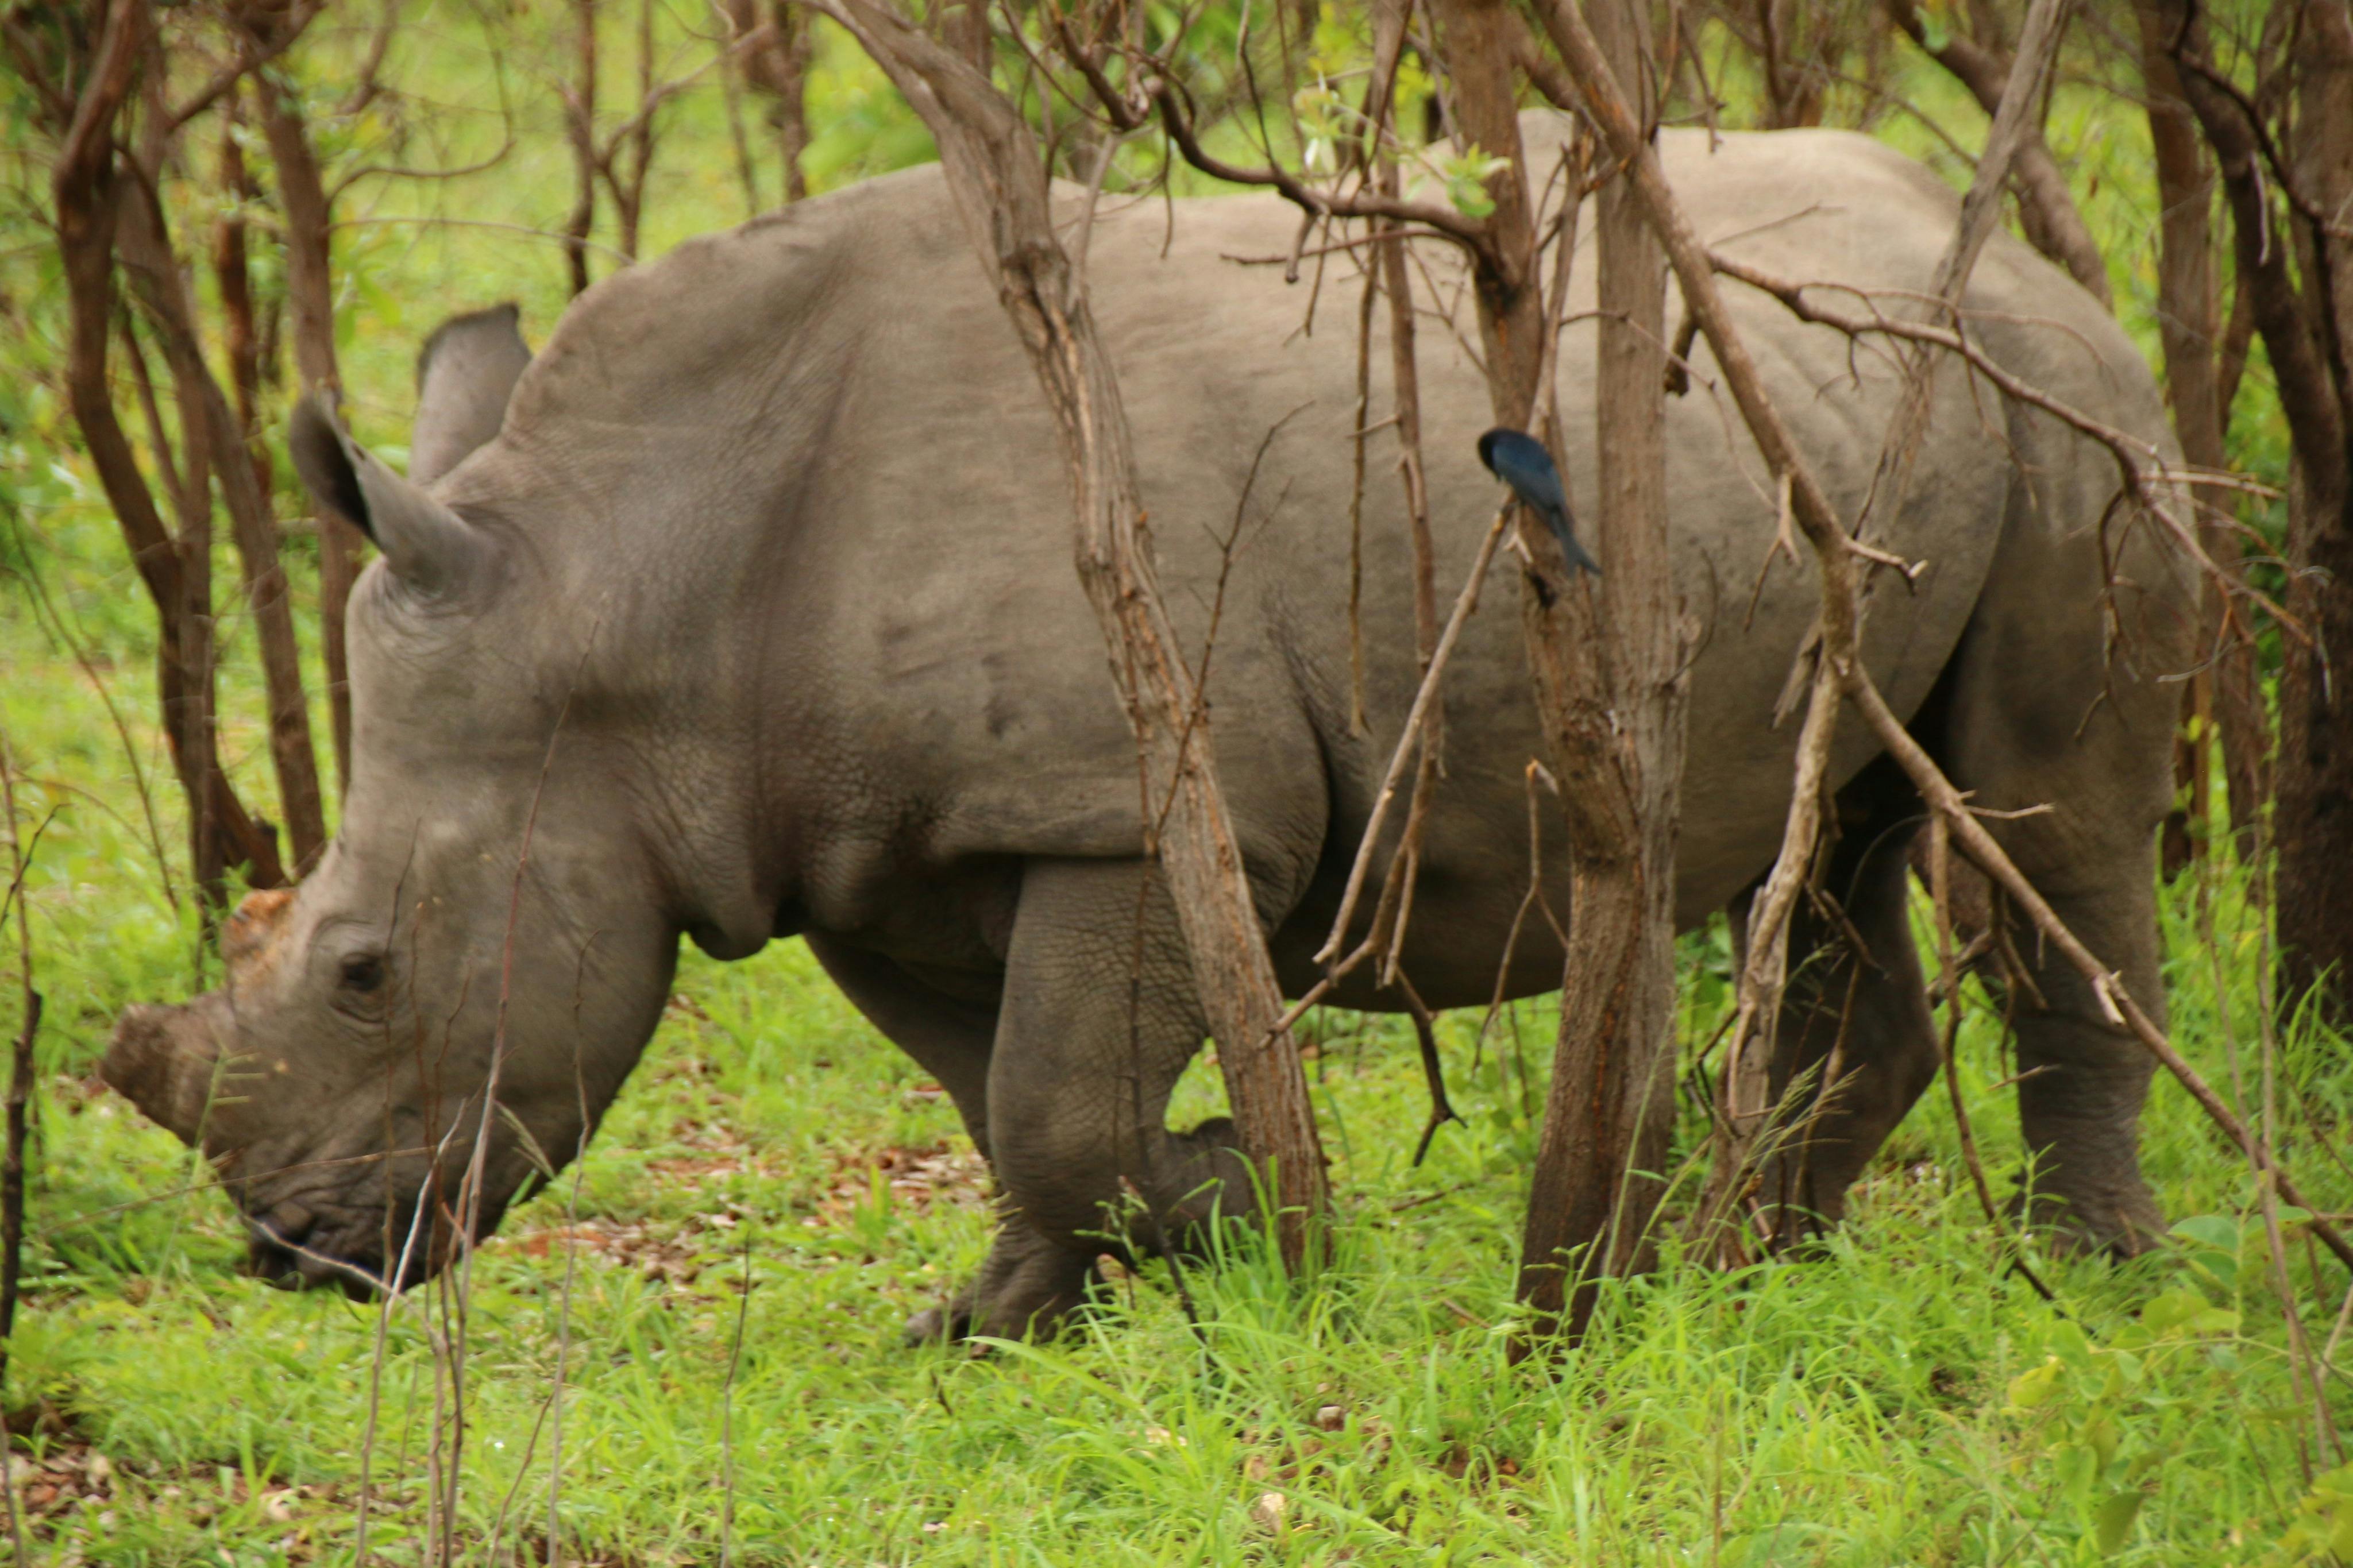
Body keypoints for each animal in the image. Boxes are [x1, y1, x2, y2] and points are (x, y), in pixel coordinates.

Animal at [103, 119, 2195, 1341]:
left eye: (364, 972)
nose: (287, 1251)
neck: (625, 589)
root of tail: (2026, 256)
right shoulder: (861, 844)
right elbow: (997, 1100)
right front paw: (998, 1322)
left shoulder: (1134, 805)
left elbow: (1056, 1100)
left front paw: (1244, 1205)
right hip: (1871, 433)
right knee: (1838, 824)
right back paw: (1741, 1269)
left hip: (2068, 415)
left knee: (2046, 817)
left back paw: (2083, 1290)